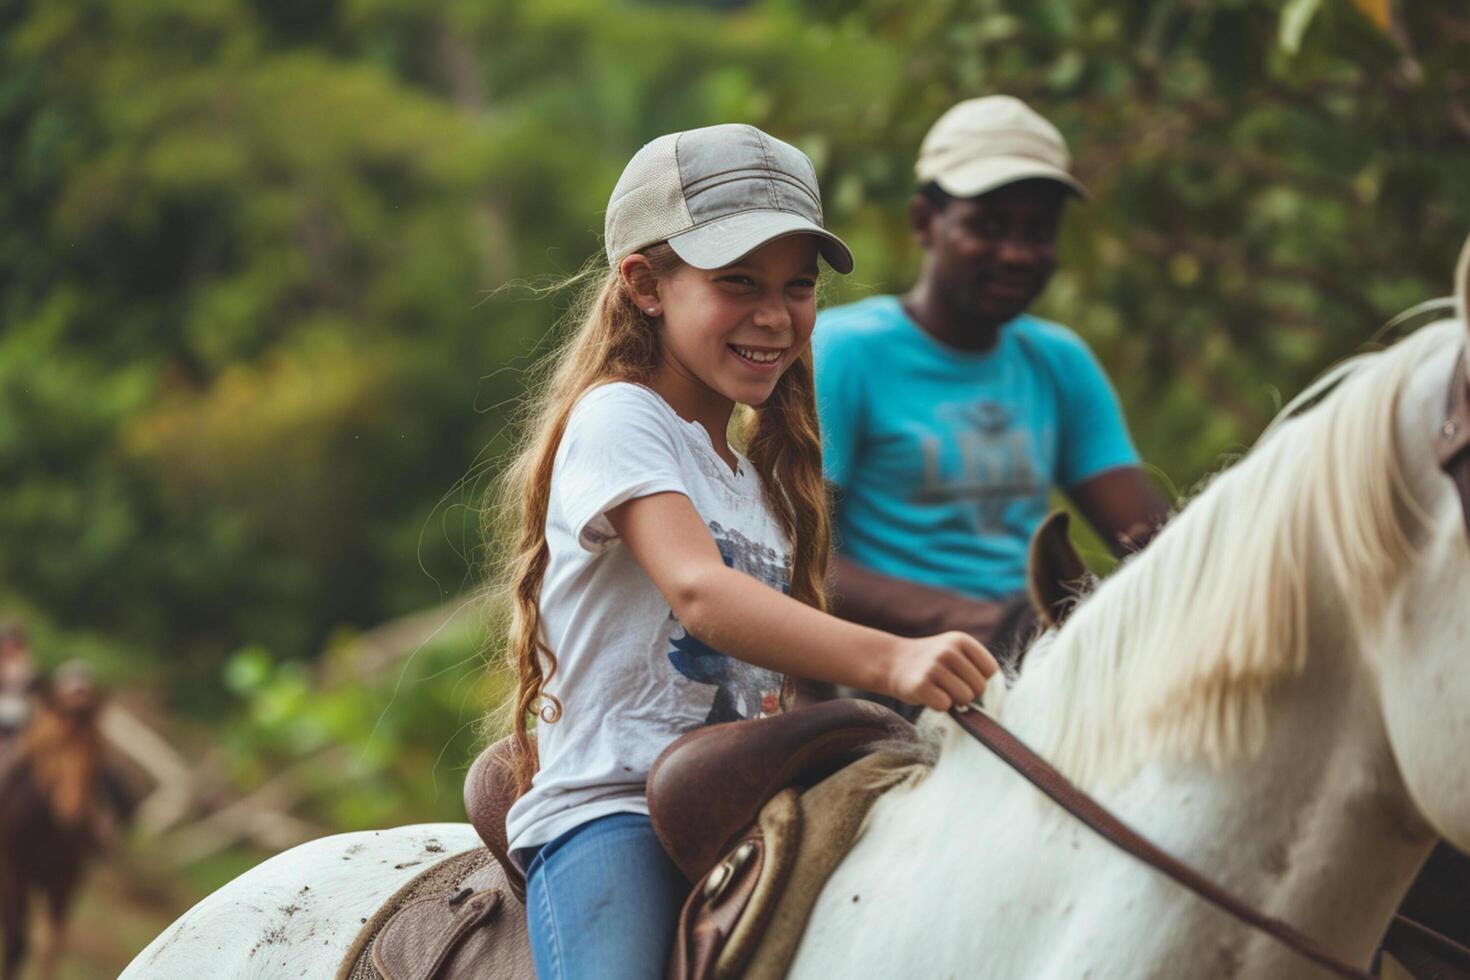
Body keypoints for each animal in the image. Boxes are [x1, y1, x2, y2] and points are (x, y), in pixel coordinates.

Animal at [0, 667, 130, 980]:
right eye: (53, 746)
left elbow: (50, 946)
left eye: (96, 750)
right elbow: (14, 942)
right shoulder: (11, 872)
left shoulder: (66, 878)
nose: (75, 814)